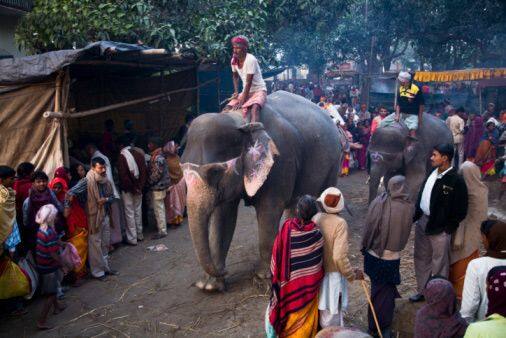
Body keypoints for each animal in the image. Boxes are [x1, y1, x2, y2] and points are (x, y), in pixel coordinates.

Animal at [180, 91, 342, 292]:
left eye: (215, 171)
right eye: (181, 168)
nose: (225, 271)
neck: (239, 121)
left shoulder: (280, 161)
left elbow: (268, 211)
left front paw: (264, 278)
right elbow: (223, 216)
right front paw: (210, 286)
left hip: (334, 160)